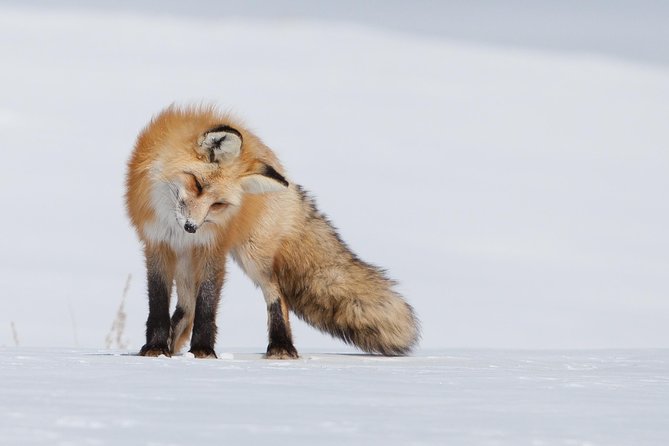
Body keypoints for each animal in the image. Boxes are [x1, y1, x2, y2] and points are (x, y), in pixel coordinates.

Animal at [125, 104, 418, 358]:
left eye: (218, 204)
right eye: (197, 184)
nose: (191, 228)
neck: (172, 223)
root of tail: (280, 170)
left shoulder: (214, 247)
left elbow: (207, 303)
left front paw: (203, 351)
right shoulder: (157, 243)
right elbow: (159, 301)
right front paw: (155, 348)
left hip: (253, 256)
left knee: (277, 292)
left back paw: (281, 347)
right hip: (188, 260)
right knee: (186, 306)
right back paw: (173, 344)